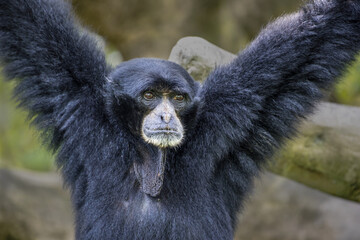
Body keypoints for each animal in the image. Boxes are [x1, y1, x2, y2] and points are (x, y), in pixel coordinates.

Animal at [0, 0, 360, 239]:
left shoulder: (234, 111)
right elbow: (30, 25)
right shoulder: (79, 99)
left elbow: (317, 38)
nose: (165, 114)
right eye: (149, 96)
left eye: (177, 98)